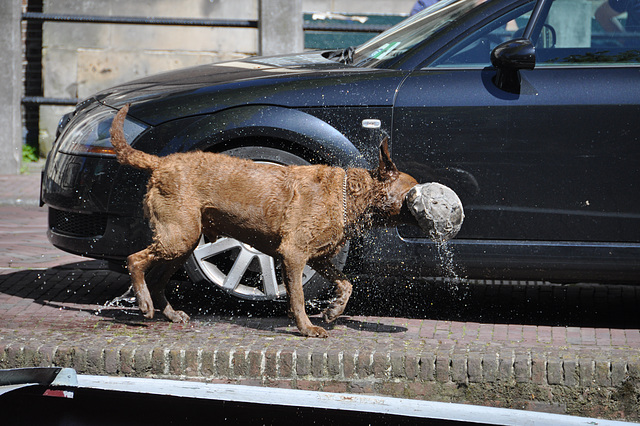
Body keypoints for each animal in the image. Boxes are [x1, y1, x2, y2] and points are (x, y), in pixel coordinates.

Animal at [110, 103, 420, 336]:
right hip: (178, 236)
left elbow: (346, 283)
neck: (346, 194)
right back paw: (145, 304)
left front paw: (334, 310)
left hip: (184, 242)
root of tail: (161, 162)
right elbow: (298, 297)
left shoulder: (318, 257)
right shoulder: (294, 254)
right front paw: (307, 328)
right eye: (413, 191)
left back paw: (171, 314)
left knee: (157, 280)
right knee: (134, 260)